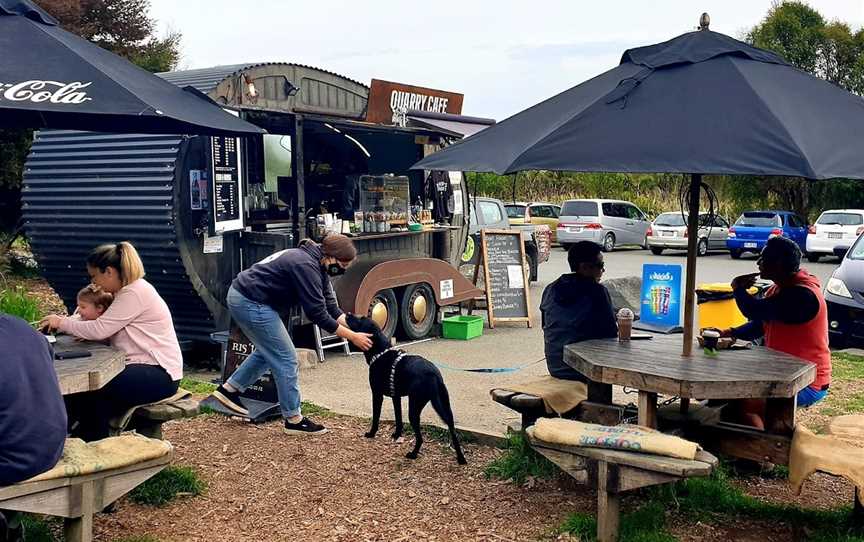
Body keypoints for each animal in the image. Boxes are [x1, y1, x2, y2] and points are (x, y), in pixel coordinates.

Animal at [346, 314, 470, 468]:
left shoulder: (377, 395)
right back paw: (461, 458)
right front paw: (397, 435)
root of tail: (434, 374)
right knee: (453, 431)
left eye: (361, 319)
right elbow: (398, 418)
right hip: (444, 407)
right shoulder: (396, 397)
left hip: (415, 407)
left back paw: (413, 454)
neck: (380, 352)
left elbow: (376, 417)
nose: (347, 314)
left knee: (420, 438)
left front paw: (371, 433)